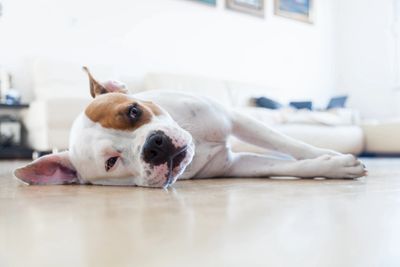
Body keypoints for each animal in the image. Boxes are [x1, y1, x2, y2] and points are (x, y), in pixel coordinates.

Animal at [14, 67, 368, 188]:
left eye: (133, 111)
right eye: (111, 162)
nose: (154, 145)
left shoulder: (236, 119)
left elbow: (292, 146)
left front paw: (328, 155)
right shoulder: (236, 166)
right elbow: (291, 166)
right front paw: (334, 166)